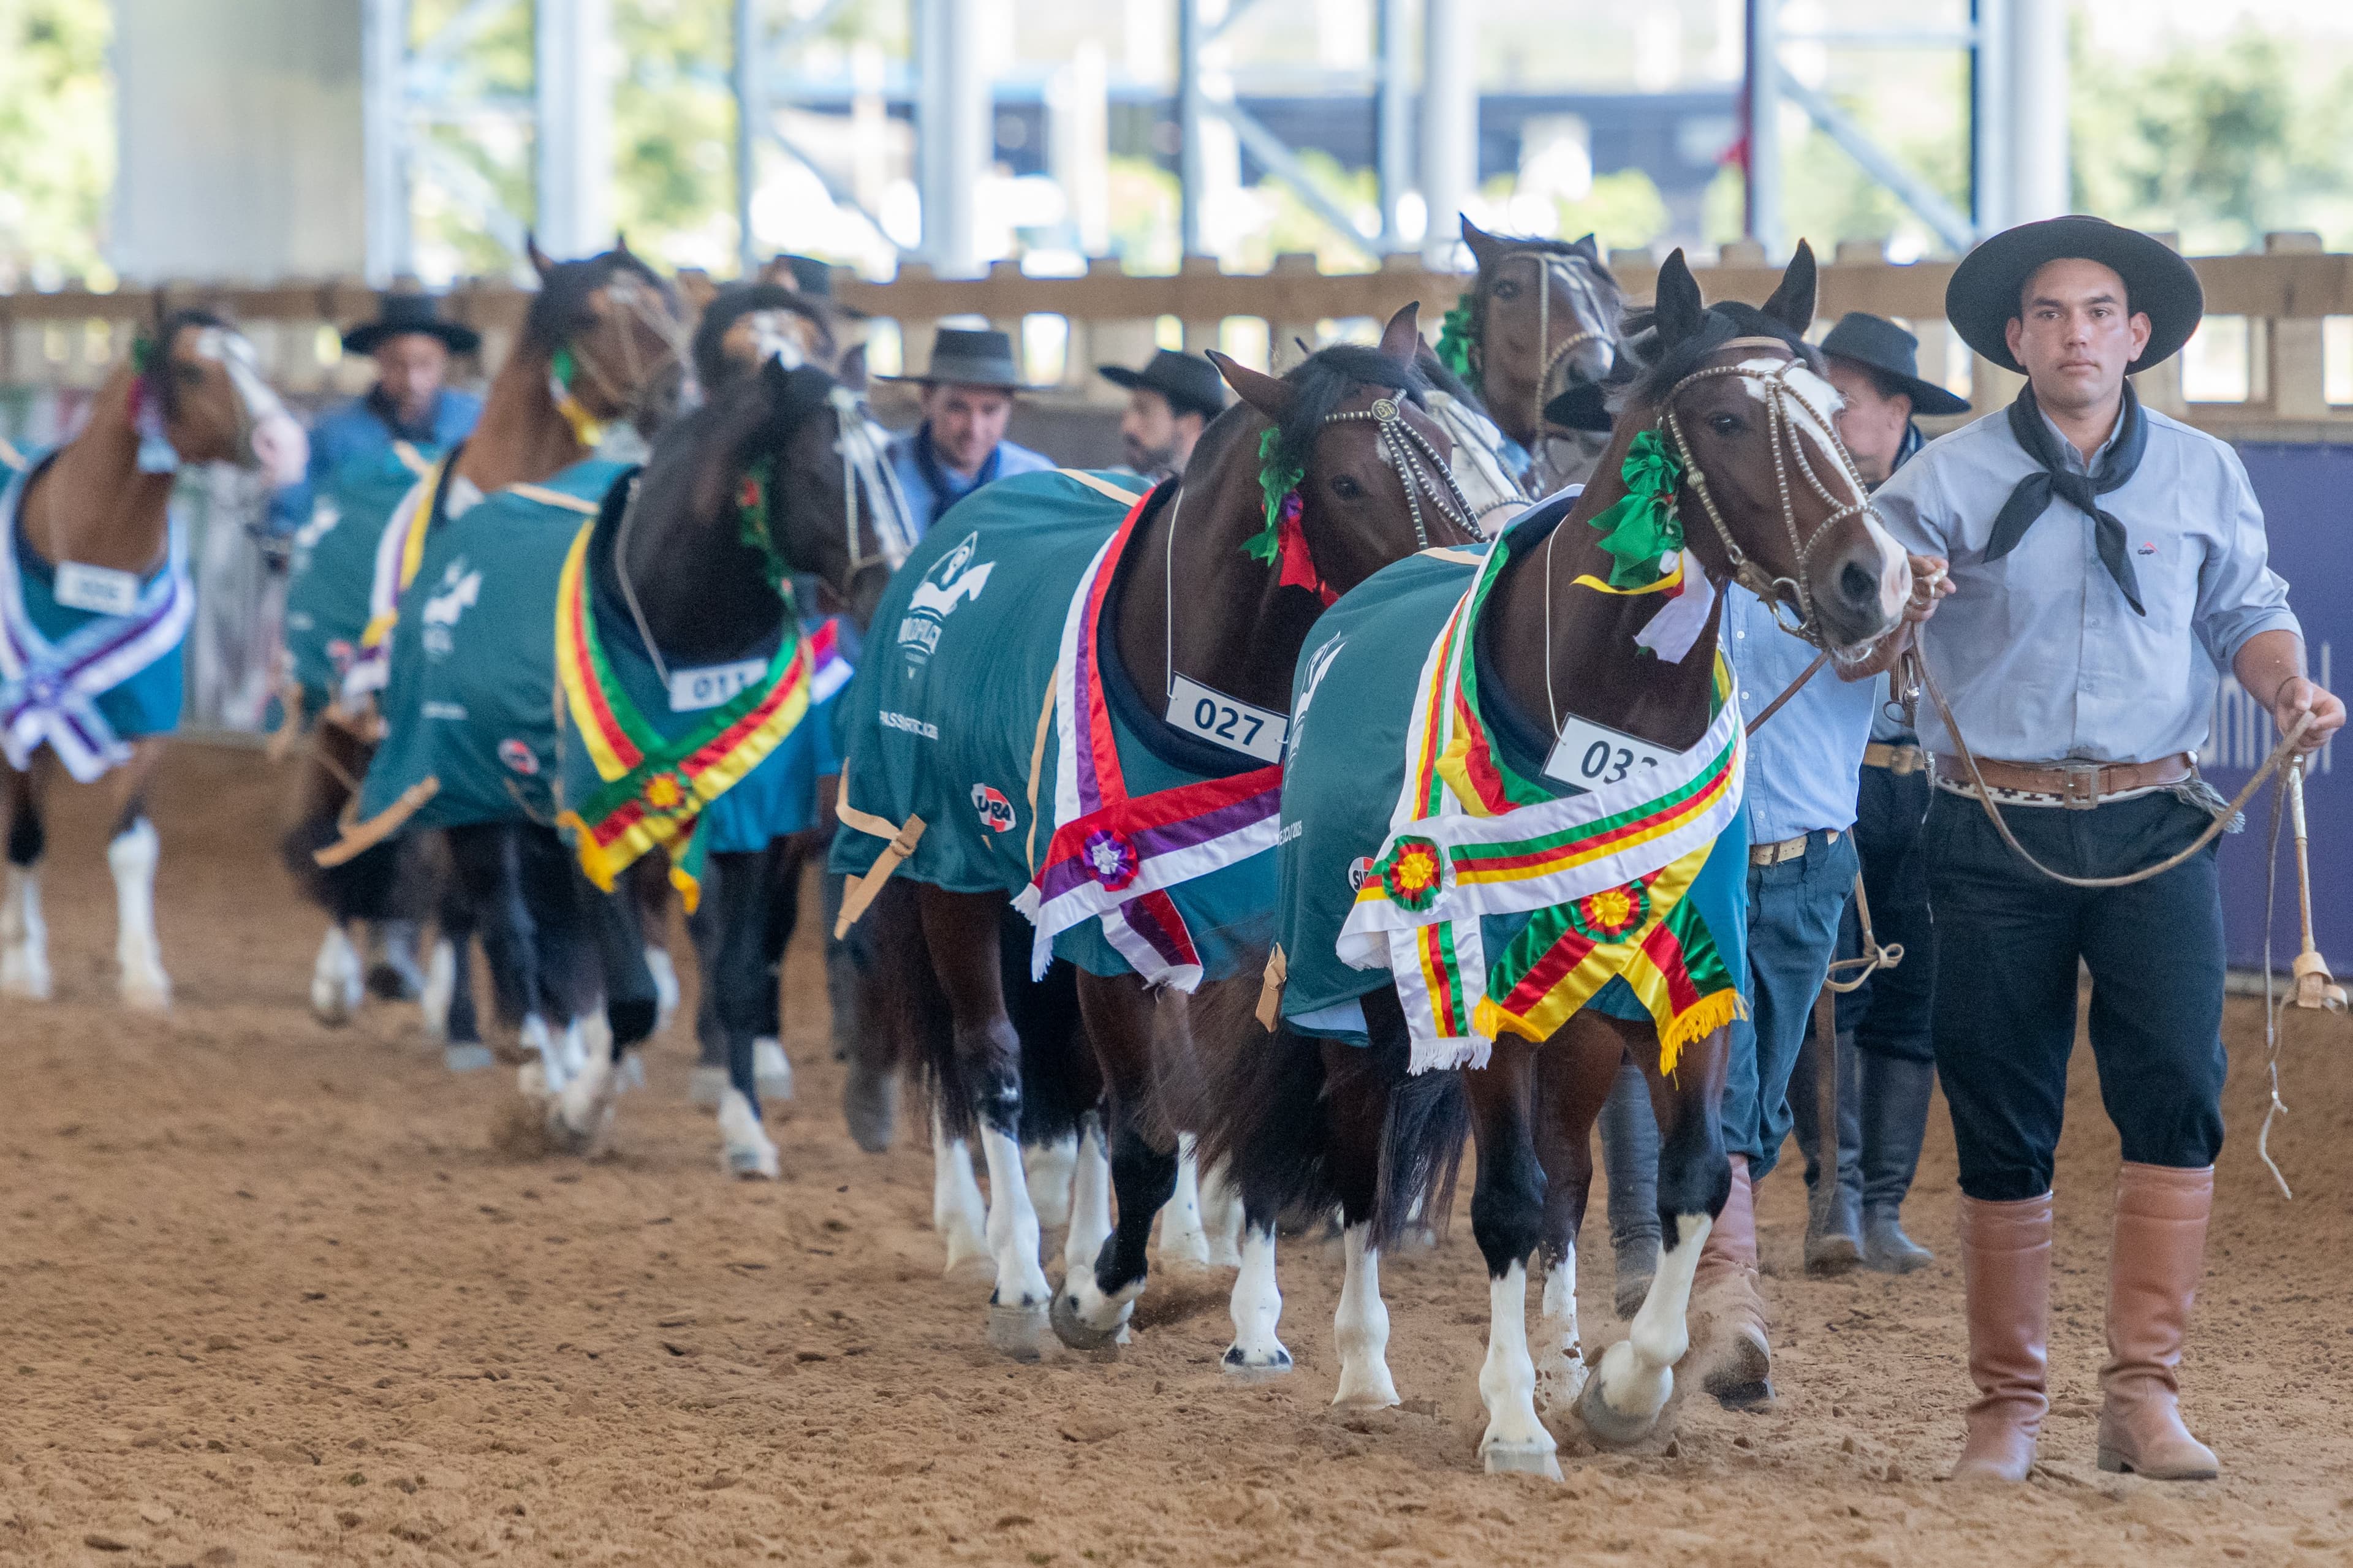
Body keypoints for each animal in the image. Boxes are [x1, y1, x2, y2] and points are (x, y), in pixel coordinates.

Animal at [3, 309, 307, 1006]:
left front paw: (144, 975)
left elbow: (133, 845)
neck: (91, 554)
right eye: (192, 370)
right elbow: (25, 839)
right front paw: (22, 969)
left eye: (252, 359)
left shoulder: (149, 721)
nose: (285, 444)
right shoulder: (20, 724)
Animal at [298, 240, 688, 1067]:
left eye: (664, 303)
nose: (677, 390)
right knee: (346, 842)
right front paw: (502, 1025)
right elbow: (484, 890)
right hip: (343, 722)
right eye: (593, 313)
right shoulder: (456, 745)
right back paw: (349, 979)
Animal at [832, 305, 1486, 1360]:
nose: (1467, 583)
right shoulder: (1112, 918)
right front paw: (1103, 1294)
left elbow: (1229, 1114)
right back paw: (1021, 1274)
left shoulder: (1250, 939)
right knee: (995, 1063)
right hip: (947, 869)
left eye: (1447, 447)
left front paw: (1249, 1320)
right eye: (1347, 482)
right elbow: (1144, 1132)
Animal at [1190, 243, 1911, 1476]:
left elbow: (1686, 1180)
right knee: (1358, 1149)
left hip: (1578, 1026)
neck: (1603, 730)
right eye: (1726, 416)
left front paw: (1624, 1384)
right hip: (1354, 989)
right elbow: (1506, 1201)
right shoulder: (1481, 1007)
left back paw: (1567, 1356)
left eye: (1833, 408)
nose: (1874, 576)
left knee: (1571, 1178)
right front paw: (1518, 1420)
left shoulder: (1688, 986)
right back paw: (1362, 1363)